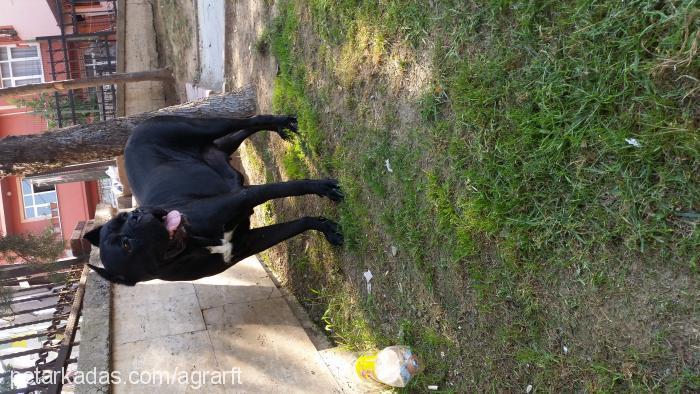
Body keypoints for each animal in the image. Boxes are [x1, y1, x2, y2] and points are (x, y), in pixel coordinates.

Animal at [83, 115, 344, 284]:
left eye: (126, 216)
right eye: (126, 245)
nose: (139, 214)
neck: (193, 243)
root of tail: (131, 135)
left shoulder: (240, 199)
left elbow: (284, 187)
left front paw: (323, 187)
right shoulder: (249, 242)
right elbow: (296, 224)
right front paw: (325, 226)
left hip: (201, 128)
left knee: (250, 119)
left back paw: (283, 122)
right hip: (219, 146)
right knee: (242, 131)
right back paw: (281, 127)